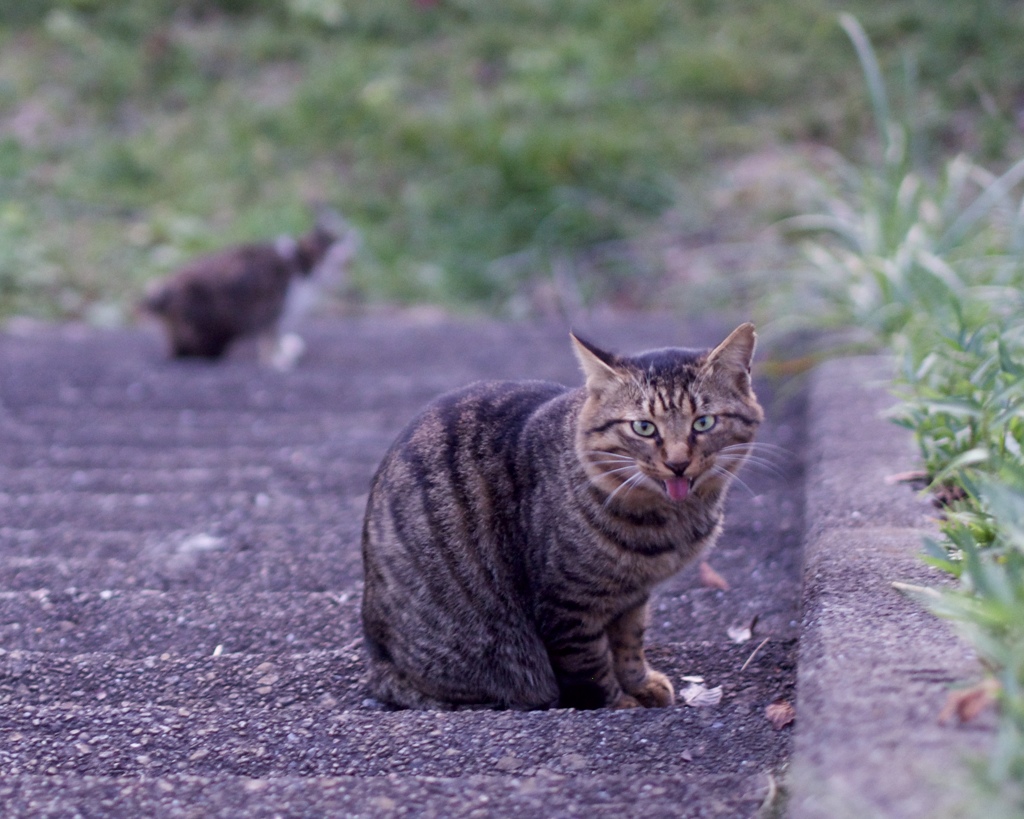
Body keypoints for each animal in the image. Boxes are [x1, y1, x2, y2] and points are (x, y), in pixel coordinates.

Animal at [140, 206, 356, 368]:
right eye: (342, 265)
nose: (344, 279)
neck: (301, 263)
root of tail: (162, 292)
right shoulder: (272, 309)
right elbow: (269, 338)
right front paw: (277, 360)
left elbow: (274, 337)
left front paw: (286, 350)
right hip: (202, 323)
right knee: (185, 351)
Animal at [360, 323, 761, 708]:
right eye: (644, 427)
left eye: (703, 423)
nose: (678, 463)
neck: (666, 524)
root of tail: (379, 663)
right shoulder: (568, 602)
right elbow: (590, 665)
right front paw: (618, 704)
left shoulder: (632, 596)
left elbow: (629, 644)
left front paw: (640, 684)